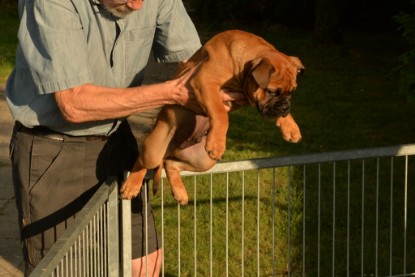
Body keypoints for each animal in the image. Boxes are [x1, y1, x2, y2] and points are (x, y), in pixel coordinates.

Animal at [122, 29, 304, 203]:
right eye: (272, 92)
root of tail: (173, 148)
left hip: (202, 160)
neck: (244, 65)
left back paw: (180, 192)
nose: (285, 107)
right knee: (141, 162)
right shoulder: (205, 82)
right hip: (154, 149)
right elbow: (221, 114)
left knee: (171, 164)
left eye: (292, 92)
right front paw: (217, 144)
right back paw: (131, 185)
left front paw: (291, 126)